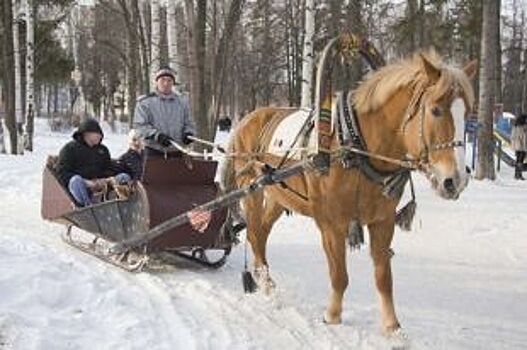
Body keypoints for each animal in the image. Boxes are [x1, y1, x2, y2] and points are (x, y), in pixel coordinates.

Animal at [221, 49, 476, 334]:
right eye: (435, 110)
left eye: (468, 113)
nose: (456, 180)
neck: (356, 146)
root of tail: (247, 119)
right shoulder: (332, 223)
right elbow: (339, 275)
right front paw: (332, 316)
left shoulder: (383, 221)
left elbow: (383, 277)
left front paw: (392, 327)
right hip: (252, 189)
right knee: (254, 233)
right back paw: (264, 283)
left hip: (279, 196)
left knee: (262, 233)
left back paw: (266, 281)